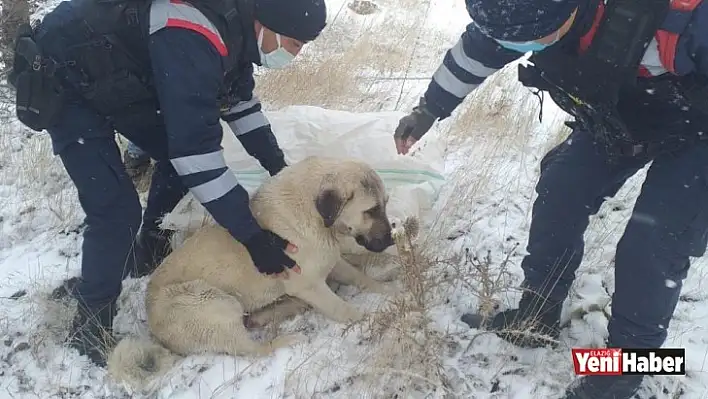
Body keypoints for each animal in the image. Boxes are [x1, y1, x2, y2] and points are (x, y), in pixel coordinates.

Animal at [108, 156, 402, 390]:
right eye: (371, 210)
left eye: (386, 204)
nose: (391, 240)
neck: (314, 214)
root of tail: (152, 328)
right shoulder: (309, 284)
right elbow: (345, 310)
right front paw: (374, 314)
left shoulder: (329, 261)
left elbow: (361, 278)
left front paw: (388, 290)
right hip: (215, 301)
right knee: (253, 349)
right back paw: (288, 339)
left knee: (252, 325)